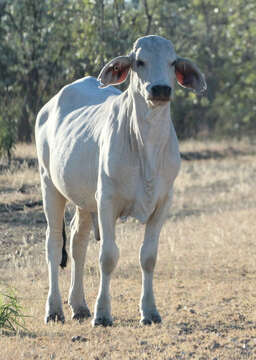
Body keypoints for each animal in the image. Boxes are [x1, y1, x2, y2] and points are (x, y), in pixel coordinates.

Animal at [35, 35, 206, 326]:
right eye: (139, 61)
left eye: (172, 62)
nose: (160, 89)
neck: (147, 146)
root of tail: (49, 106)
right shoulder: (107, 201)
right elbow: (108, 256)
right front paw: (103, 313)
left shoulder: (163, 203)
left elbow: (148, 257)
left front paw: (150, 311)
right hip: (50, 186)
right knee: (54, 244)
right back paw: (55, 309)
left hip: (83, 200)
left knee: (77, 243)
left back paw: (79, 305)